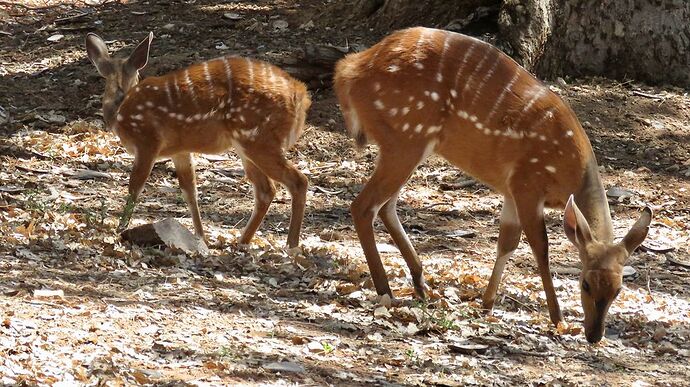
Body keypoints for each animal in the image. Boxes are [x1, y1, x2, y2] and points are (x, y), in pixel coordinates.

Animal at [86, 31, 310, 247]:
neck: (121, 110)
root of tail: (300, 96)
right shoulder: (180, 151)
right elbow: (189, 191)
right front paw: (201, 236)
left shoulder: (147, 142)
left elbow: (135, 186)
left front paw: (120, 227)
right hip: (248, 144)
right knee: (266, 190)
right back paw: (242, 242)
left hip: (258, 138)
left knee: (297, 181)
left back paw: (291, 246)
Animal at [334, 27, 652, 342]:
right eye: (585, 283)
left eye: (618, 290)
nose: (594, 335)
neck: (568, 171)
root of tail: (348, 71)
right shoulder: (527, 185)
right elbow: (540, 248)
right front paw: (557, 317)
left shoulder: (511, 193)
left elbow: (506, 244)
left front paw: (486, 303)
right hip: (406, 139)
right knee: (363, 206)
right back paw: (386, 289)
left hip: (408, 145)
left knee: (386, 206)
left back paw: (421, 284)